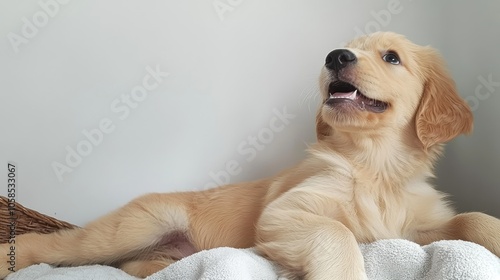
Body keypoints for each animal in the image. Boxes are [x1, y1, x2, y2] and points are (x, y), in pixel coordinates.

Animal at [0, 31, 500, 278]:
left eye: (391, 57)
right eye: (347, 50)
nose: (335, 56)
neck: (376, 165)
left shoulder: (413, 229)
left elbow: (470, 220)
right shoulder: (284, 213)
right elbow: (336, 233)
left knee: (129, 265)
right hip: (135, 225)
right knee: (56, 246)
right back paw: (12, 254)